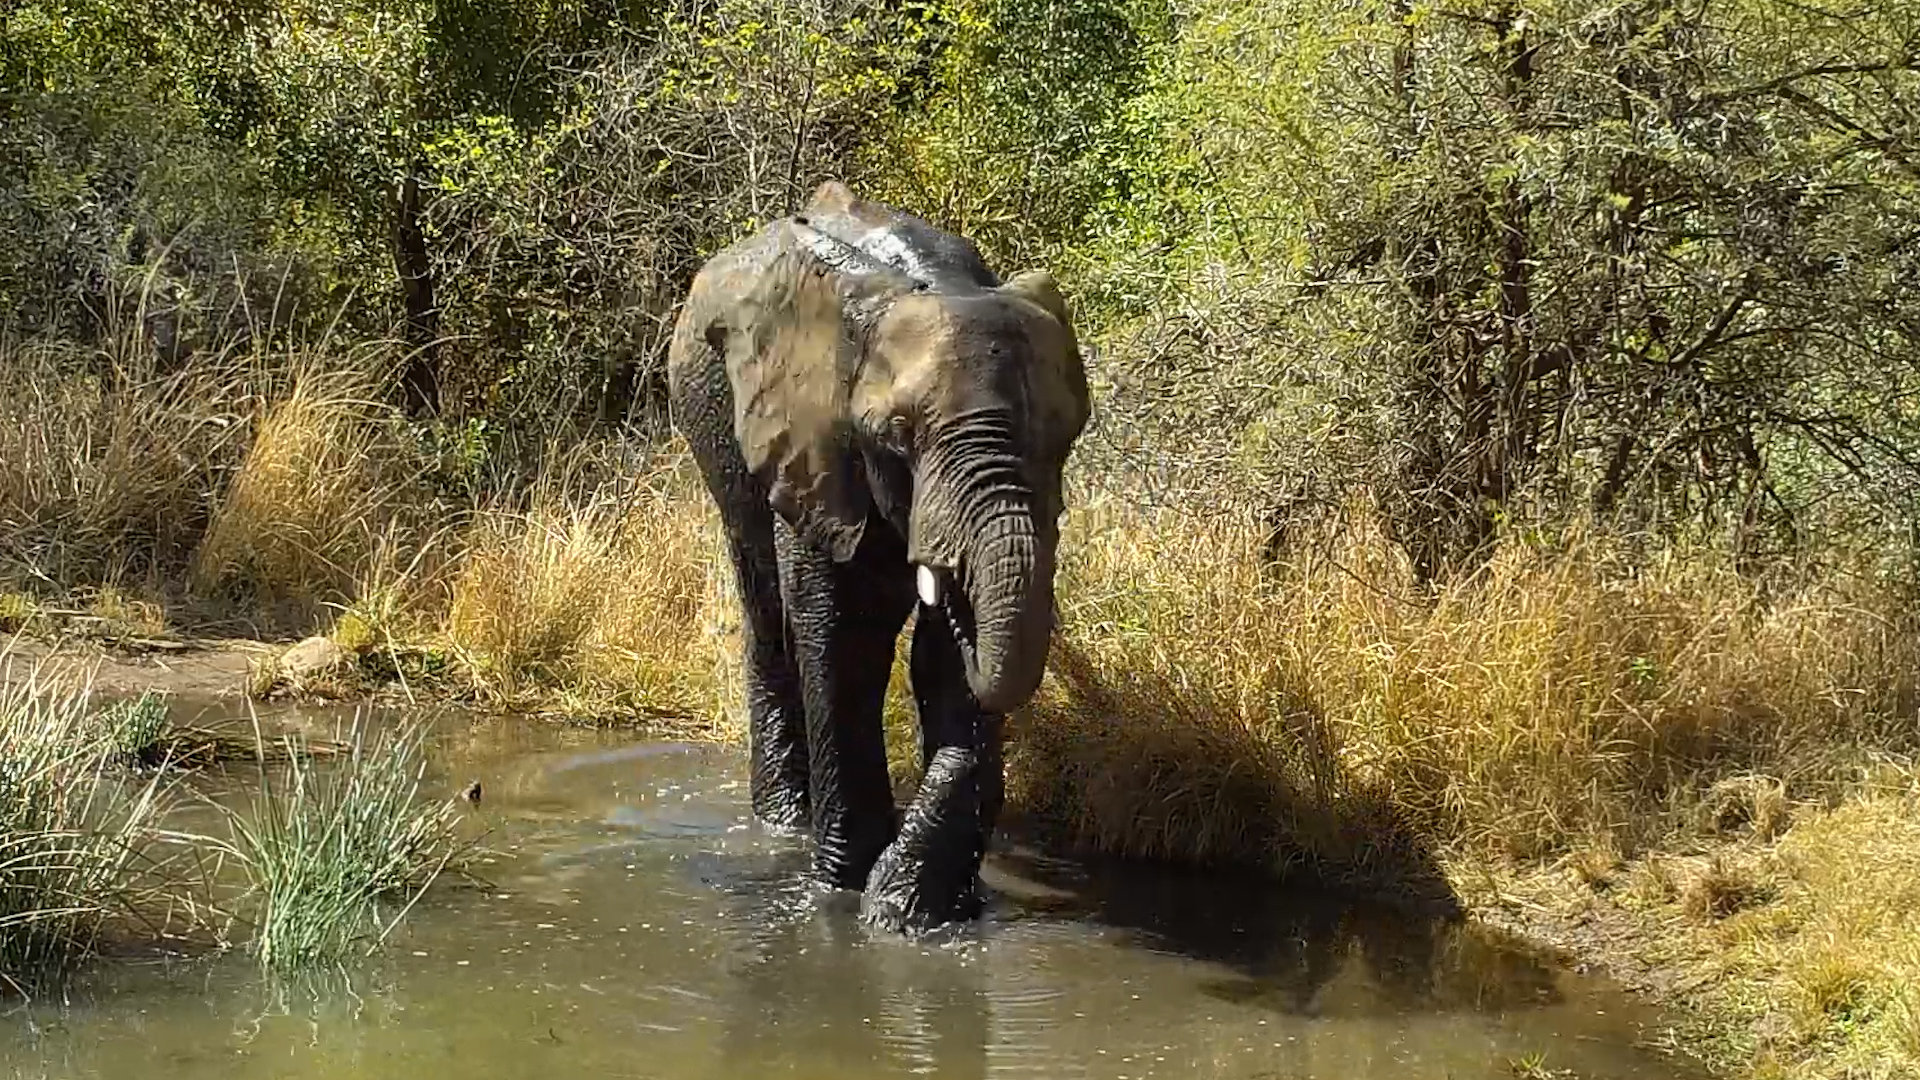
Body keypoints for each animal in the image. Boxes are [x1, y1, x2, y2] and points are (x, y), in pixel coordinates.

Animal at [666, 179, 1091, 933]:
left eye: (1068, 436)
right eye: (895, 436)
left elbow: (945, 663)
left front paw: (913, 909)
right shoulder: (813, 446)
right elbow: (842, 641)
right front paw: (846, 893)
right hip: (713, 430)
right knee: (768, 616)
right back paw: (783, 827)